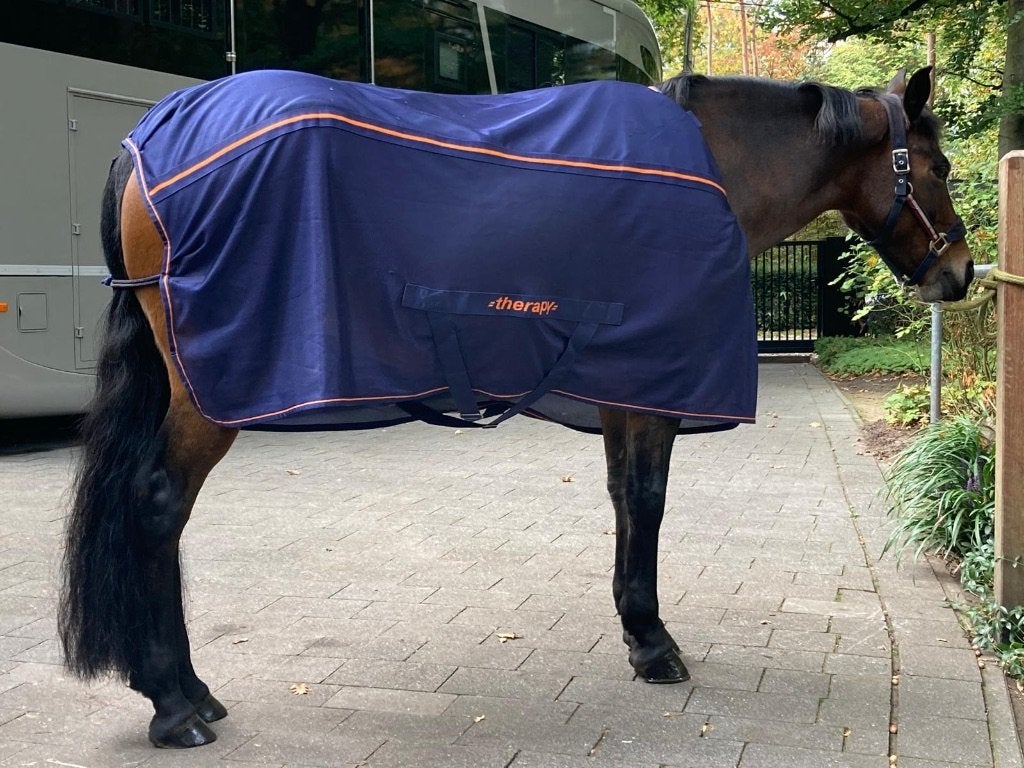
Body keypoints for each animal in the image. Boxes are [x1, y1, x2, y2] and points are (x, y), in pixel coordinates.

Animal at [59, 66, 974, 748]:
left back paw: (185, 691)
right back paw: (176, 705)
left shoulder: (619, 388)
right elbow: (649, 502)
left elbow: (623, 502)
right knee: (158, 506)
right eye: (940, 169)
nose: (959, 274)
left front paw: (637, 633)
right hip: (207, 394)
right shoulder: (652, 390)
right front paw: (656, 645)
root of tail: (150, 138)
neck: (713, 168)